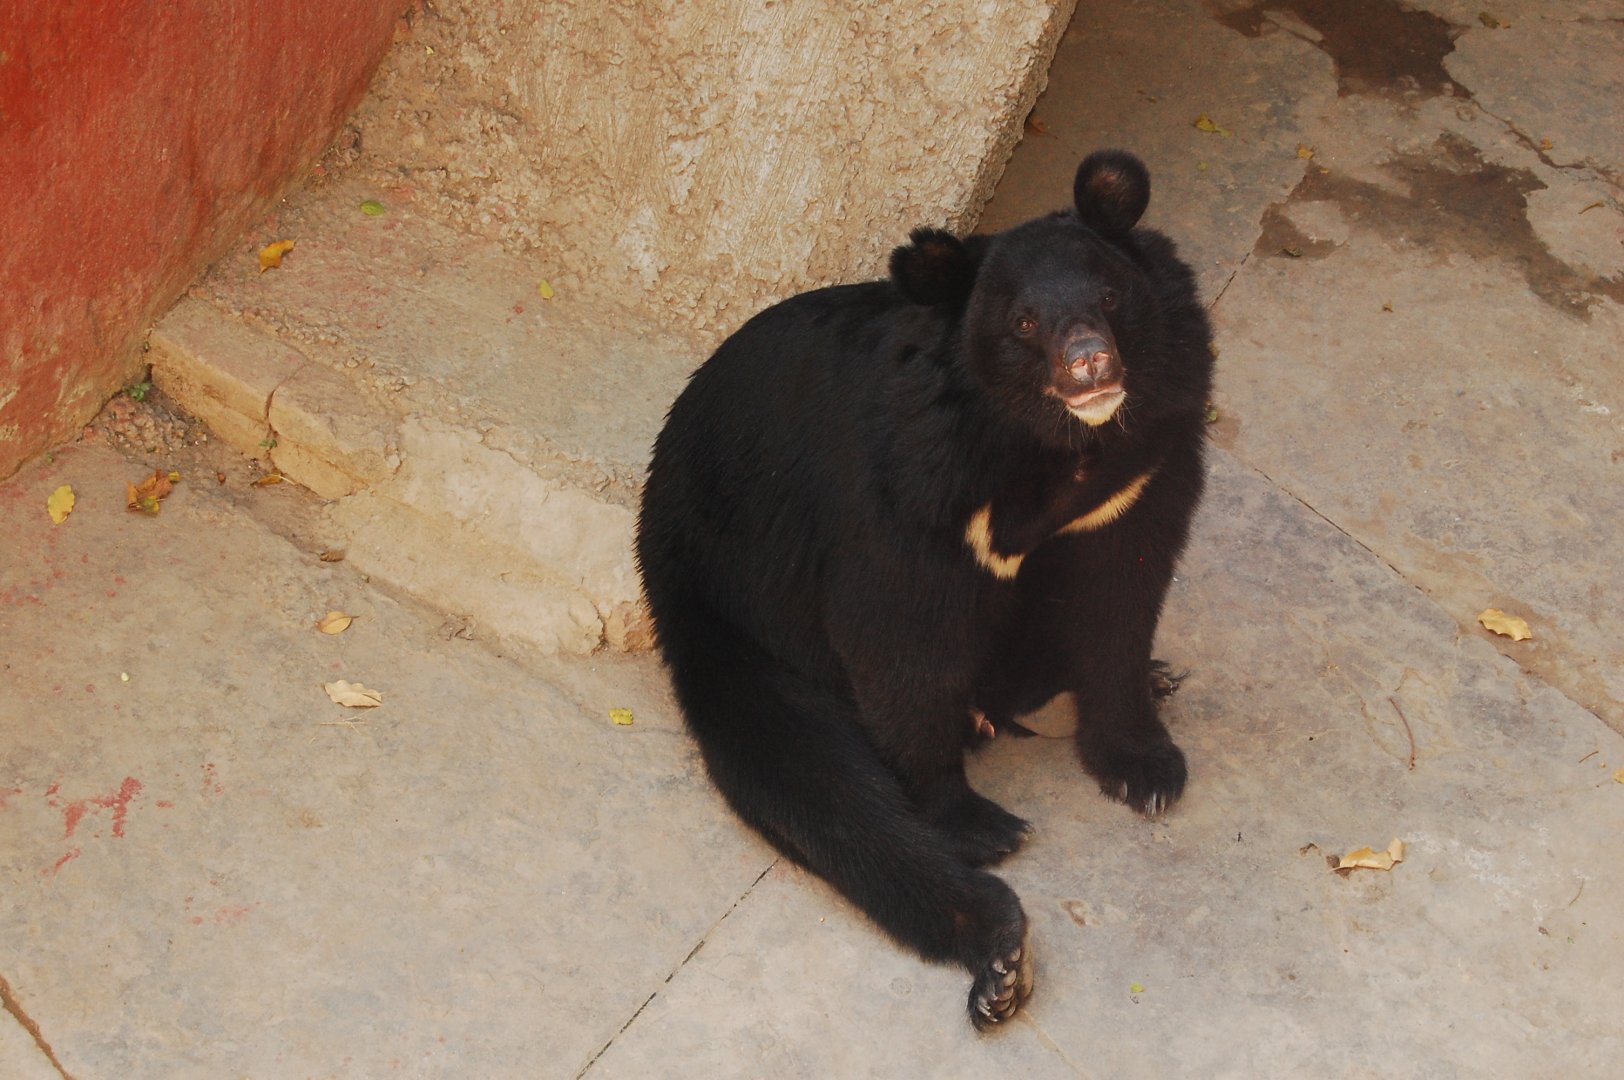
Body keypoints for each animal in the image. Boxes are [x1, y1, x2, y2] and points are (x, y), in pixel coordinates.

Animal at [636, 150, 1214, 1029]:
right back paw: (999, 952)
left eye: (1109, 298)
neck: (1055, 452)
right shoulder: (907, 489)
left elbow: (1122, 598)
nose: (1090, 363)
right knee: (817, 788)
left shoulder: (1149, 461)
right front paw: (973, 822)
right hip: (728, 617)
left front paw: (1146, 770)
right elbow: (900, 642)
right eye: (1023, 324)